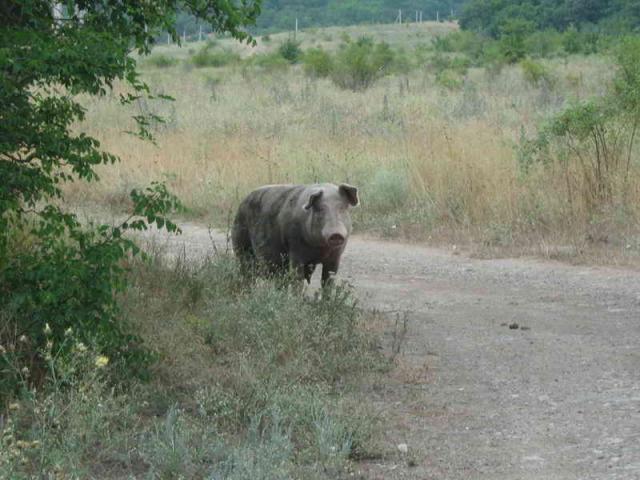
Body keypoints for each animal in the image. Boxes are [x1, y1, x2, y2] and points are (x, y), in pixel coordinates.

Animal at [231, 183, 360, 284]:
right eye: (320, 209)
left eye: (342, 208)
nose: (336, 234)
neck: (320, 248)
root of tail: (241, 204)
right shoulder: (295, 251)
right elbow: (296, 280)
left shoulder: (335, 257)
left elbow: (328, 282)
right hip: (241, 246)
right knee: (246, 272)